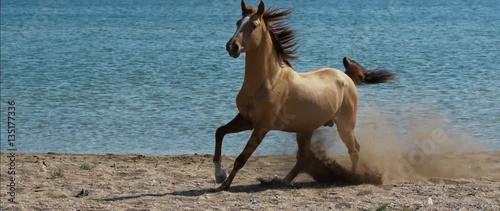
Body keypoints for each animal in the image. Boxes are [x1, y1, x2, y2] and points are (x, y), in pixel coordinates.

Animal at [213, 0, 396, 191]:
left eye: (254, 25)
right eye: (237, 23)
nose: (232, 47)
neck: (267, 81)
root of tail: (346, 76)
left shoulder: (262, 126)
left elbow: (242, 158)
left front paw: (223, 184)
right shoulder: (246, 119)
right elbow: (220, 132)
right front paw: (219, 175)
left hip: (345, 125)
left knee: (354, 149)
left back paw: (353, 177)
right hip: (305, 130)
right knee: (303, 158)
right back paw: (282, 181)